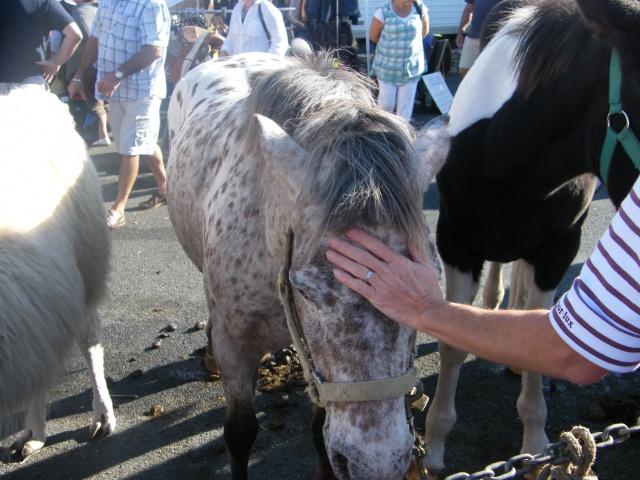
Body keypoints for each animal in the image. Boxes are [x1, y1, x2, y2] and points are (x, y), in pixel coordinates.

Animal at [165, 50, 444, 478]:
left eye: (428, 286)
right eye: (305, 291)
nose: (376, 463)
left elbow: (318, 432)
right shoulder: (235, 346)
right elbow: (240, 432)